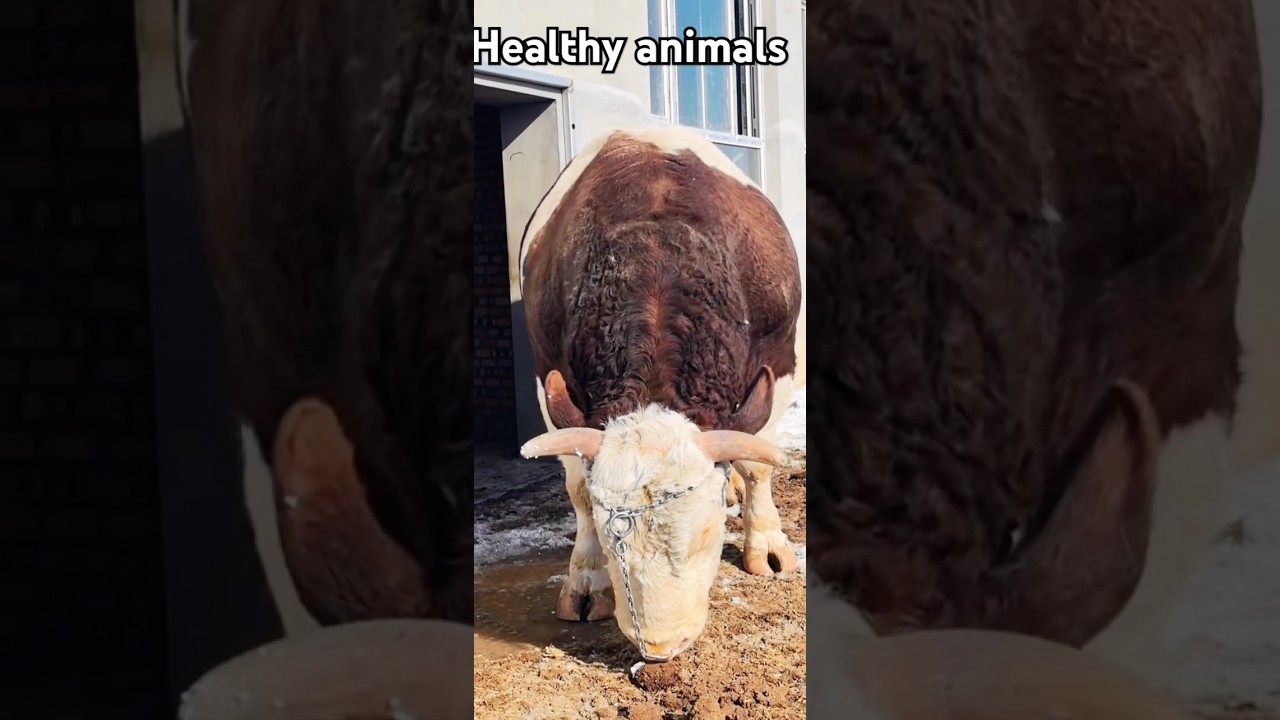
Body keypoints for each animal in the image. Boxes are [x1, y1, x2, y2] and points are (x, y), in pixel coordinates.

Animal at [517, 126, 804, 662]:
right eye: (609, 539)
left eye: (709, 534)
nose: (660, 645)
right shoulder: (548, 379)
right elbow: (579, 490)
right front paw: (586, 580)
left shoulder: (780, 363)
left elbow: (757, 464)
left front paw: (768, 544)